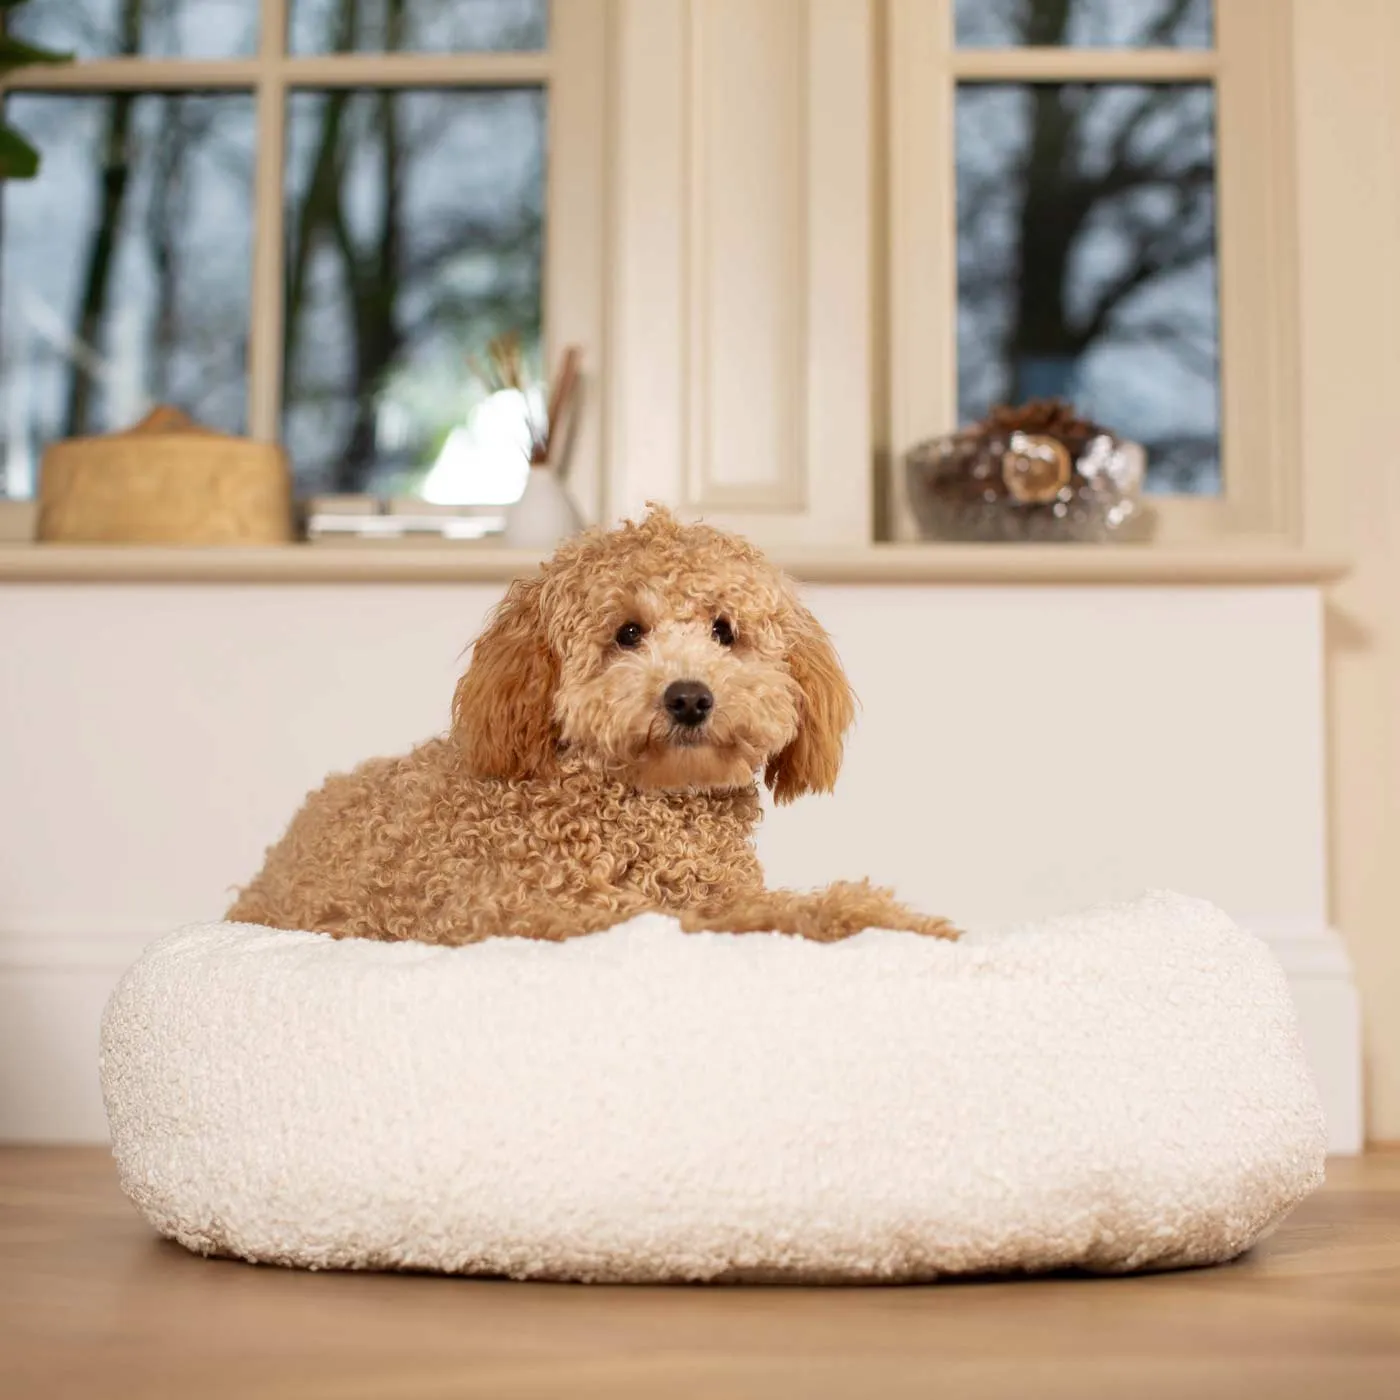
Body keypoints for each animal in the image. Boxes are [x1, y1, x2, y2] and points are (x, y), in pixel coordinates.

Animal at [229, 509, 957, 946]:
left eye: (724, 631)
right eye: (628, 633)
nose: (689, 698)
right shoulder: (525, 910)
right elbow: (736, 915)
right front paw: (862, 913)